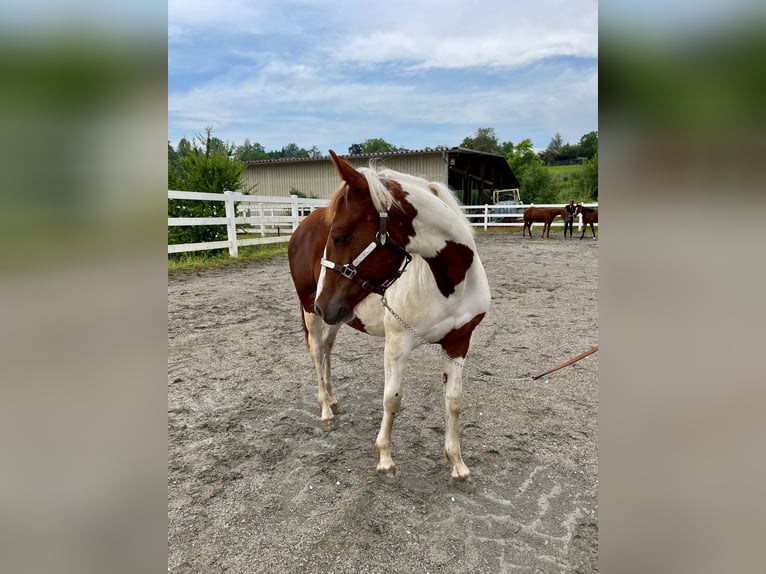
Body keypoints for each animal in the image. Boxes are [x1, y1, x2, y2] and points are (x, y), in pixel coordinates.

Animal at [288, 150, 492, 482]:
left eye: (340, 236)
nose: (323, 303)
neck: (449, 283)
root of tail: (301, 226)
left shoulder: (459, 342)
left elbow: (454, 401)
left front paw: (457, 462)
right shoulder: (397, 344)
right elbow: (392, 398)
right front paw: (384, 457)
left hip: (338, 315)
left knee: (328, 348)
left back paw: (332, 398)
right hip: (311, 312)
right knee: (317, 352)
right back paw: (325, 410)